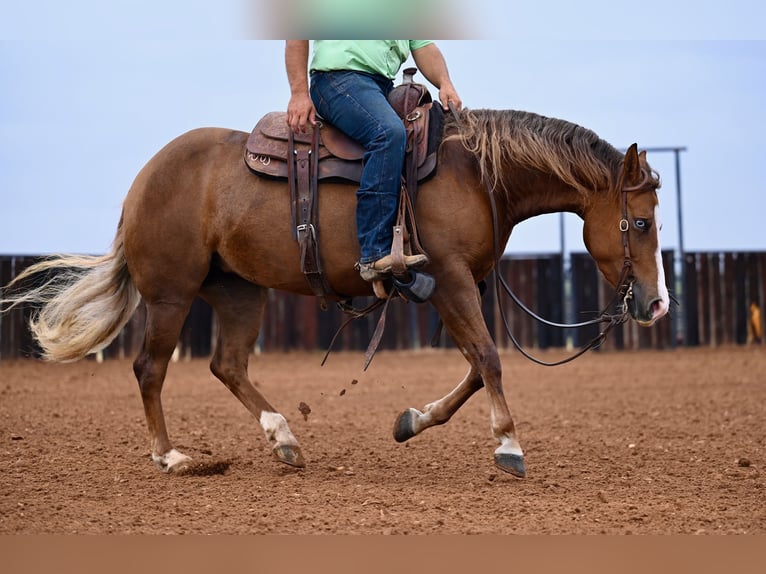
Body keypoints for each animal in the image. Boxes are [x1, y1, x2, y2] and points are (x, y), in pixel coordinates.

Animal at [0, 110, 668, 480]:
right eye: (640, 222)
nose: (657, 304)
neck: (475, 174)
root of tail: (143, 178)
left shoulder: (461, 286)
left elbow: (477, 370)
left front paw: (412, 421)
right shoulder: (449, 280)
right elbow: (489, 360)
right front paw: (508, 444)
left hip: (239, 292)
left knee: (227, 364)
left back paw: (284, 439)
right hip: (170, 294)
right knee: (149, 368)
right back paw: (172, 458)